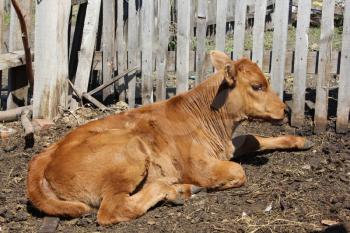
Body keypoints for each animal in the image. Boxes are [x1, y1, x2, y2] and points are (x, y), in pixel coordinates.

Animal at [26, 50, 314, 224]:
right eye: (257, 86)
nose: (285, 110)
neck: (213, 123)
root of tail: (46, 154)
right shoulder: (201, 167)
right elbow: (238, 171)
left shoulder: (227, 146)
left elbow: (253, 138)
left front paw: (300, 141)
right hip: (129, 152)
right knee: (114, 209)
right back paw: (172, 189)